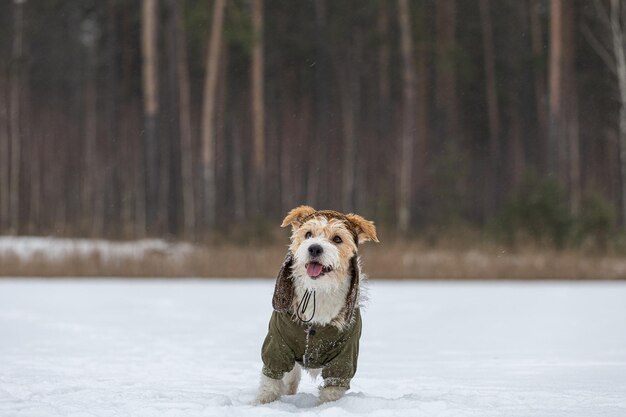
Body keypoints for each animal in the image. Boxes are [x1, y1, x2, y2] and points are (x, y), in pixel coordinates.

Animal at [252, 205, 376, 404]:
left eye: (337, 238)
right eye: (308, 234)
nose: (315, 248)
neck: (318, 291)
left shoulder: (345, 354)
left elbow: (333, 388)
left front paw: (327, 407)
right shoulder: (277, 343)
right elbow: (270, 382)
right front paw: (262, 404)